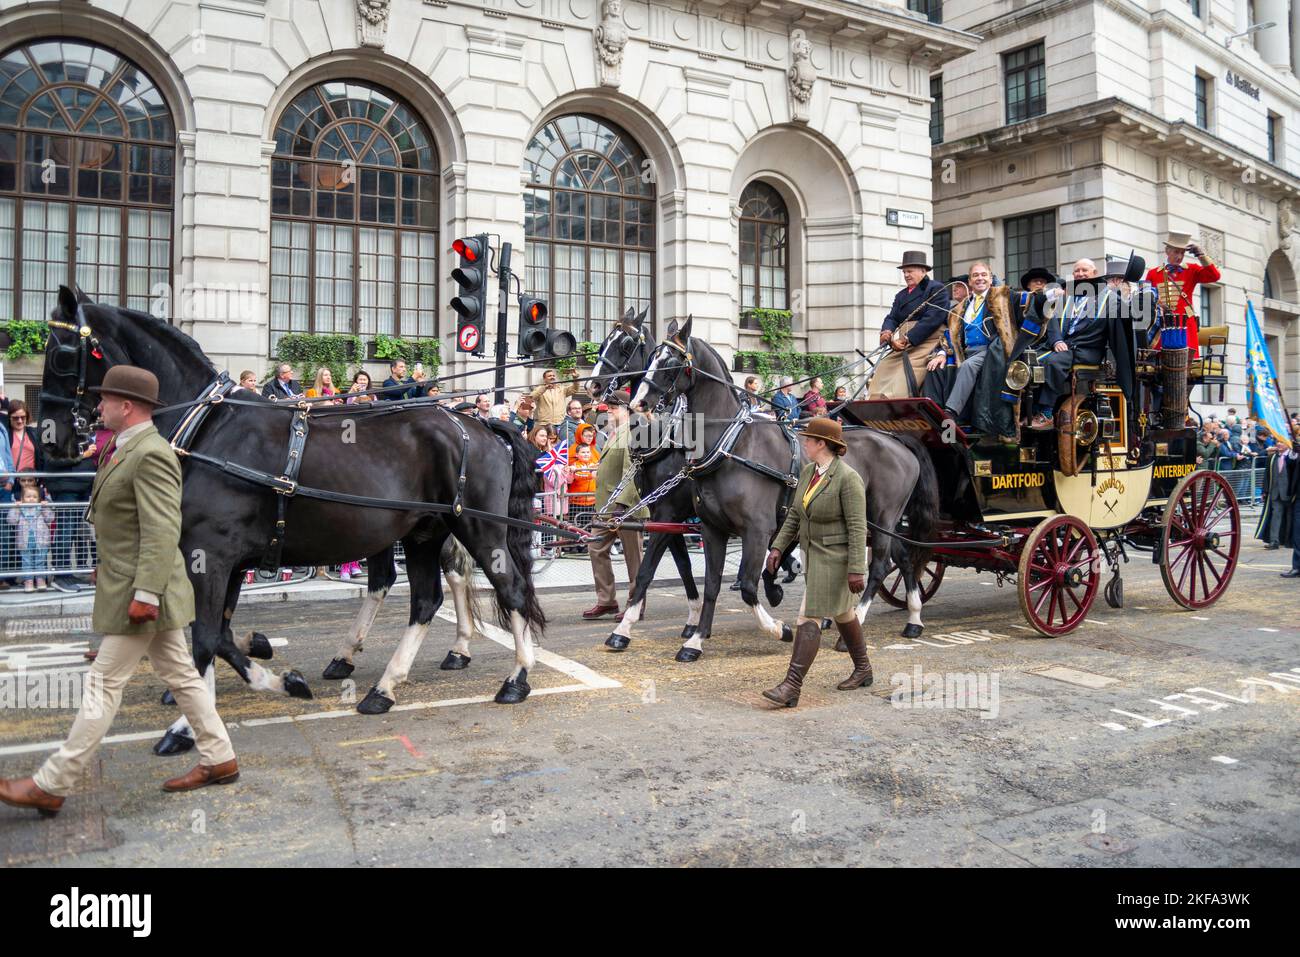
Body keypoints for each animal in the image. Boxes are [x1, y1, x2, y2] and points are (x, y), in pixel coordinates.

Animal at [40, 287, 546, 748]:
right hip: (422, 532)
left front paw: (188, 724)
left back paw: (516, 678)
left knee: (509, 589)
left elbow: (206, 636)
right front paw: (270, 674)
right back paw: (384, 685)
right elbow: (219, 633)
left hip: (479, 527)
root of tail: (481, 423)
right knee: (424, 598)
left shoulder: (210, 554)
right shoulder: (226, 560)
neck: (207, 430)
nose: (52, 439)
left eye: (62, 353)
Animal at [626, 314, 935, 657]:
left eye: (670, 361)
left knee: (879, 566)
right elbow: (712, 584)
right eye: (651, 358)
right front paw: (695, 639)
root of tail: (896, 438)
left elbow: (748, 586)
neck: (732, 446)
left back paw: (856, 621)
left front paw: (780, 628)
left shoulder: (756, 529)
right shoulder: (711, 528)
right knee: (902, 558)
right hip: (875, 521)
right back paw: (912, 617)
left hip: (883, 516)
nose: (638, 402)